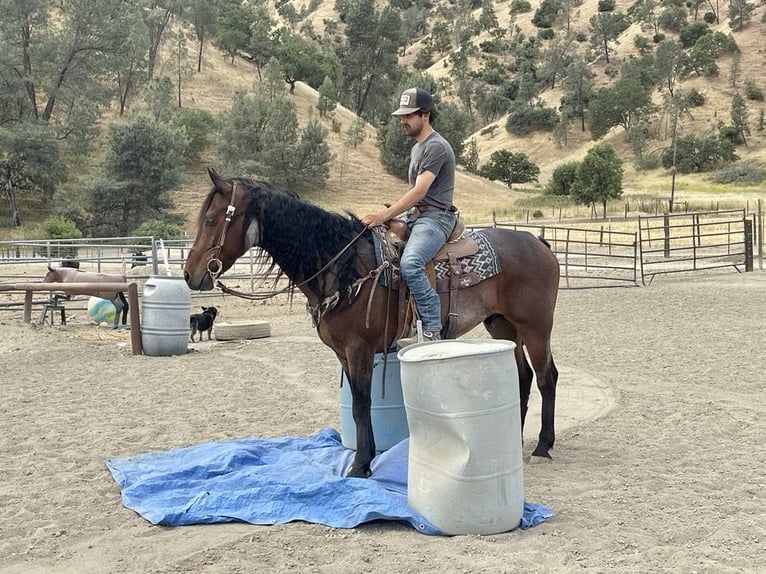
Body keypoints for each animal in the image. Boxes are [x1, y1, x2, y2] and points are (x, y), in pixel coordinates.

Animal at [183, 169, 560, 480]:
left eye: (212, 219)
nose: (190, 274)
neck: (342, 265)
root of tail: (539, 242)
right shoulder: (343, 354)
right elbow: (357, 406)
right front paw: (367, 458)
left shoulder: (359, 349)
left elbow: (362, 406)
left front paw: (360, 465)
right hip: (503, 325)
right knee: (523, 376)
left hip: (536, 327)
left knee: (546, 377)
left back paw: (543, 446)